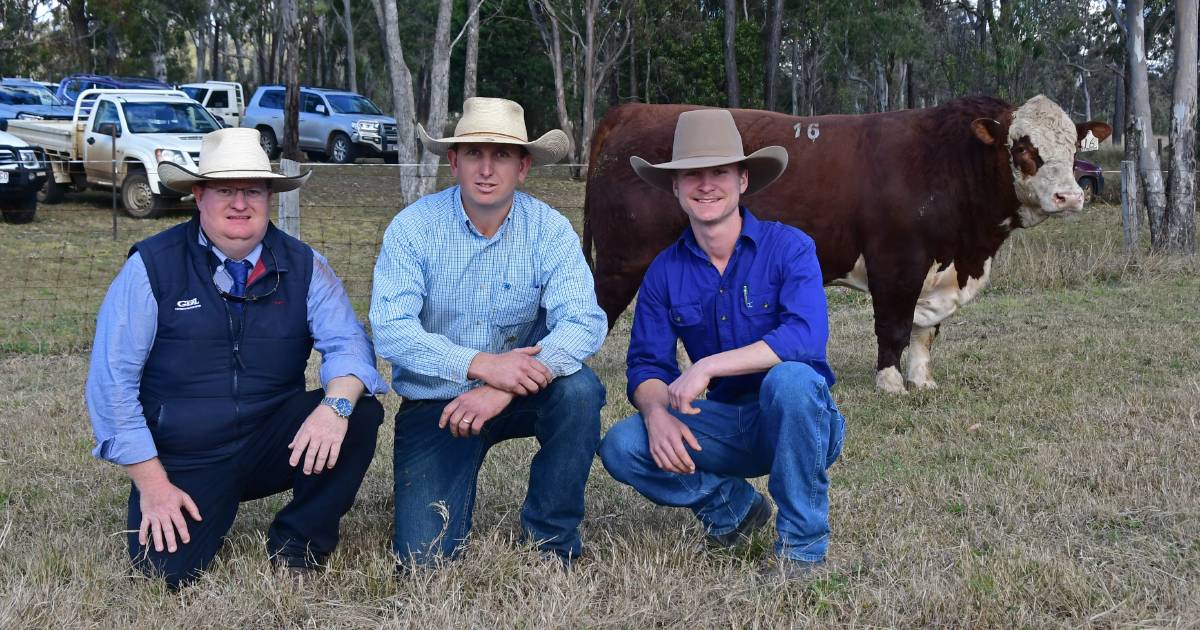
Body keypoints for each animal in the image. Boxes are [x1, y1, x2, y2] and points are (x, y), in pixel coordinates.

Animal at [580, 95, 1113, 391]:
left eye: (1073, 146)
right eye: (1022, 147)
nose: (1070, 196)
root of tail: (635, 109)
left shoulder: (937, 271)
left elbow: (925, 333)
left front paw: (922, 380)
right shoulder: (896, 261)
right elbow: (893, 327)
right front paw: (891, 382)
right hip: (621, 261)